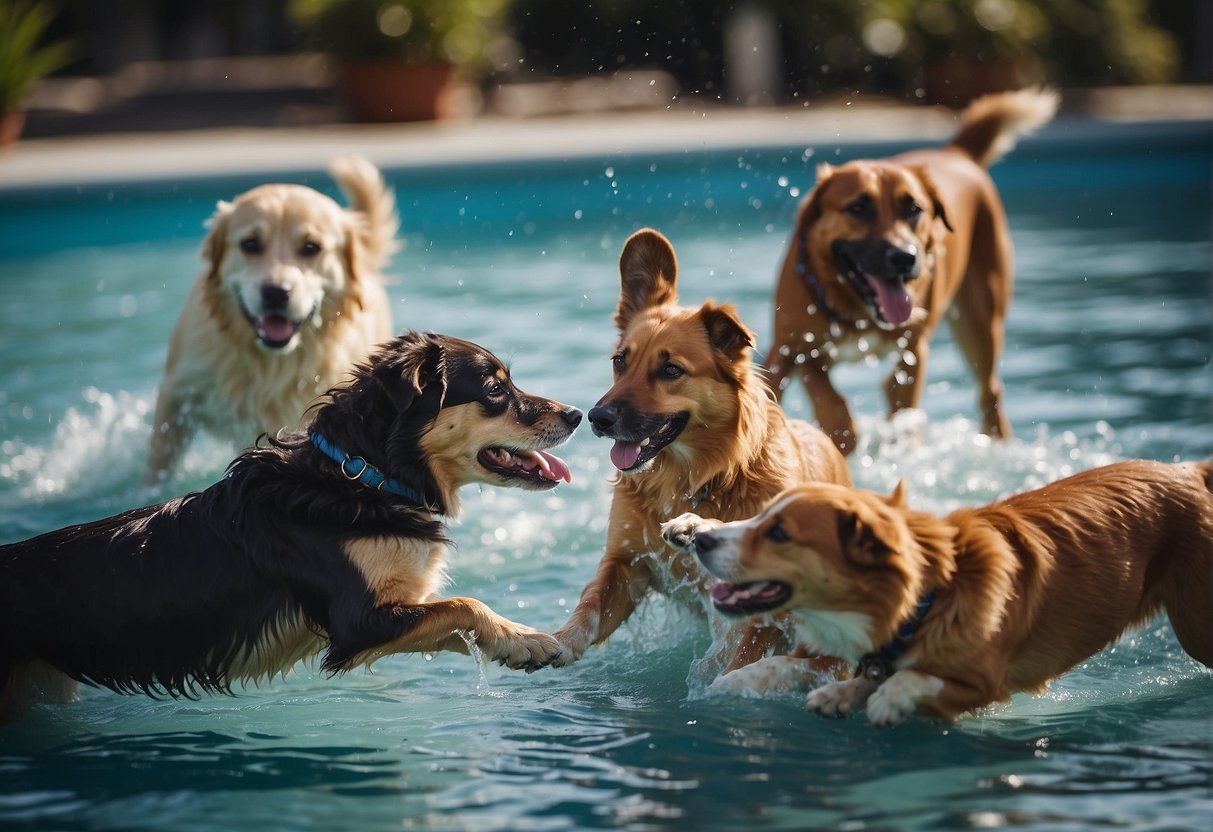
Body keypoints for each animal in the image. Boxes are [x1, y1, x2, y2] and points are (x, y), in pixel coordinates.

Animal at [1, 332, 577, 722]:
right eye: (495, 389)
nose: (576, 414)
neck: (365, 475)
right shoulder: (355, 623)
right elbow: (464, 606)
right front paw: (529, 642)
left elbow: (454, 618)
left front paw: (517, 644)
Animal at [144, 156, 395, 482]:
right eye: (250, 244)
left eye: (311, 247)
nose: (276, 292)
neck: (268, 363)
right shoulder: (177, 393)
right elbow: (158, 464)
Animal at [553, 229, 853, 679]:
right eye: (620, 361)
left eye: (670, 370)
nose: (596, 418)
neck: (693, 478)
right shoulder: (627, 564)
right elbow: (590, 605)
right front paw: (552, 643)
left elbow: (744, 654)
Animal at [664, 458, 1213, 727]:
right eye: (760, 518)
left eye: (780, 533)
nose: (702, 539)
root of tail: (1189, 470)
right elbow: (782, 667)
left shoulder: (988, 681)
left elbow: (914, 679)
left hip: (1197, 626)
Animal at [766, 86, 1062, 456]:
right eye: (858, 208)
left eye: (914, 209)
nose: (904, 257)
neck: (857, 312)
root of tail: (956, 154)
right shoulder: (791, 346)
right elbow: (824, 394)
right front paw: (838, 434)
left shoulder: (913, 350)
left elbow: (897, 403)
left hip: (980, 323)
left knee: (989, 392)